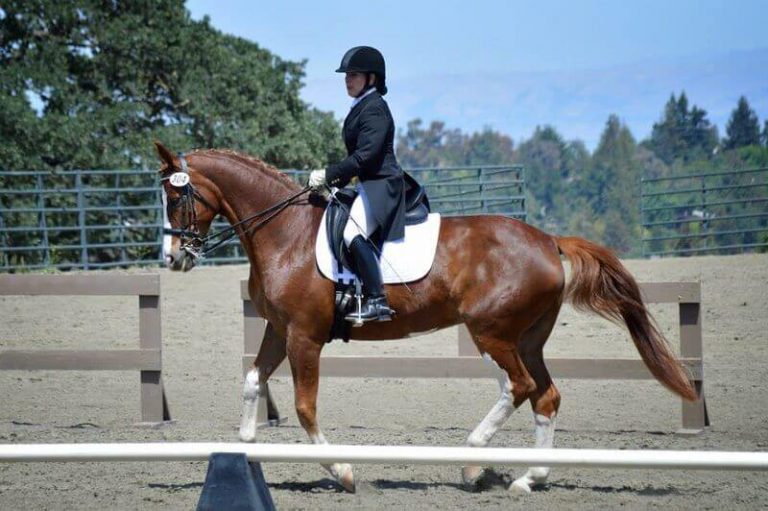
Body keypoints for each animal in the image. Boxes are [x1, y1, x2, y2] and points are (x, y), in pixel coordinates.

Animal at [154, 142, 697, 494]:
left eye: (177, 196)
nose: (173, 258)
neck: (284, 232)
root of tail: (548, 239)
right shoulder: (277, 328)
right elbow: (252, 381)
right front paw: (245, 449)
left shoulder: (304, 336)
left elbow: (306, 408)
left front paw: (342, 472)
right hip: (526, 338)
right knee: (545, 395)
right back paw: (529, 478)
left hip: (491, 333)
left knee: (518, 387)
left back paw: (472, 463)